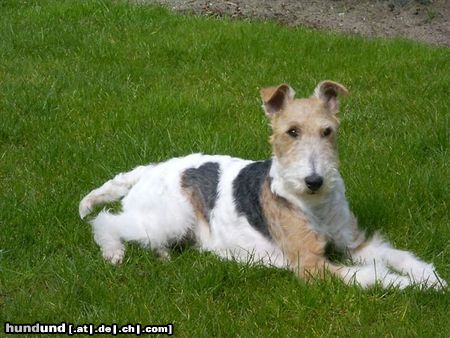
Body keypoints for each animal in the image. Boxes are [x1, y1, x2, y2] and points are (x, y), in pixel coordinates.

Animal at [80, 80, 446, 290]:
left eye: (327, 131)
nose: (314, 181)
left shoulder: (353, 243)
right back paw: (114, 253)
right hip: (166, 219)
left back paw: (163, 256)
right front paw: (414, 287)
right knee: (105, 221)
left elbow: (399, 257)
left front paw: (433, 279)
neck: (312, 205)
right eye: (292, 131)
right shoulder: (310, 265)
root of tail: (149, 170)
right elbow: (375, 277)